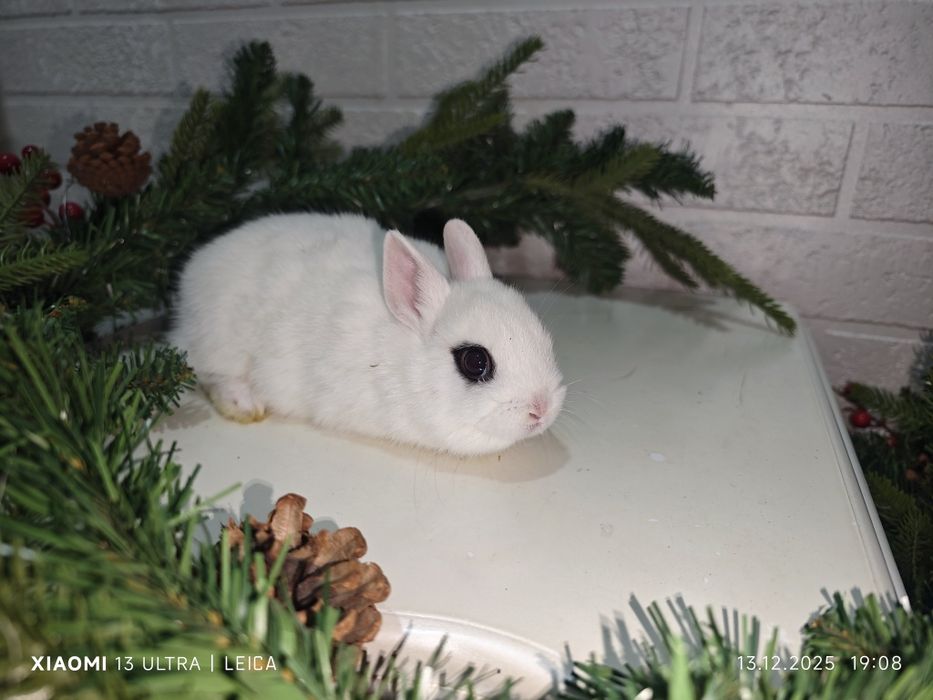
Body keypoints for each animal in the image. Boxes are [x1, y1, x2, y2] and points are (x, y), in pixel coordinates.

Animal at [170, 212, 566, 456]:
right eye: (474, 361)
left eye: (543, 337)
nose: (542, 410)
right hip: (219, 342)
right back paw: (245, 403)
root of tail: (194, 271)